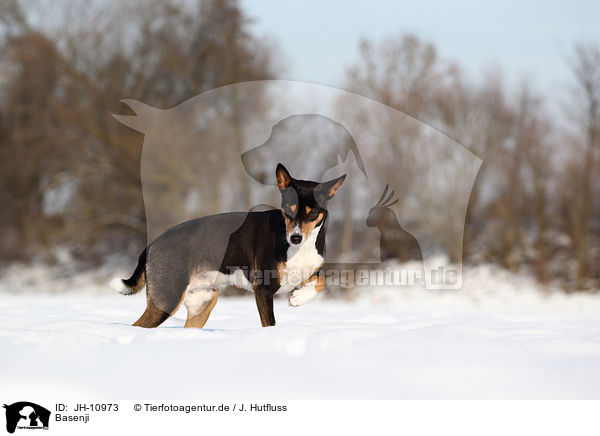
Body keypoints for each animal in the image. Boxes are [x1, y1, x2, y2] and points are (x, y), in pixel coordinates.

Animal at [119, 164, 344, 328]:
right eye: (289, 208)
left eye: (312, 212)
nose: (295, 237)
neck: (299, 248)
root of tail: (151, 245)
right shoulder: (263, 289)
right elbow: (270, 324)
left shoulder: (309, 272)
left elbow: (321, 282)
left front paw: (299, 297)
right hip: (168, 298)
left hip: (202, 303)